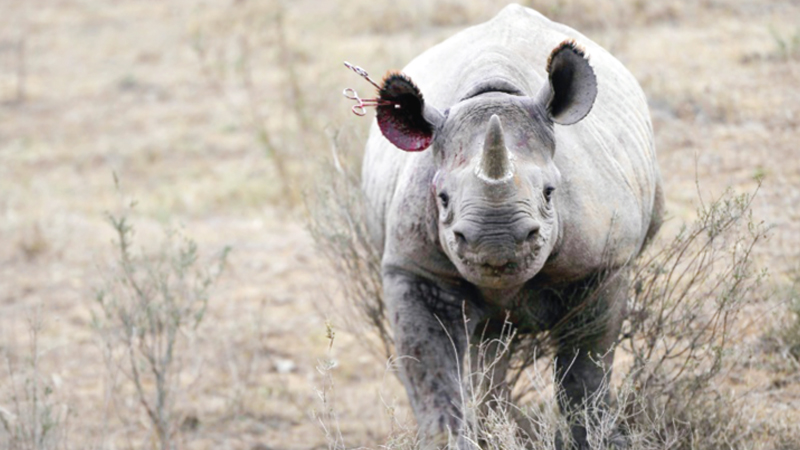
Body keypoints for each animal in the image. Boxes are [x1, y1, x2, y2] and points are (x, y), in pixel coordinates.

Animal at [358, 4, 663, 448]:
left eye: (550, 193)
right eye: (441, 198)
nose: (496, 244)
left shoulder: (601, 266)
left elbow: (585, 372)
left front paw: (591, 437)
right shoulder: (415, 267)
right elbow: (432, 376)